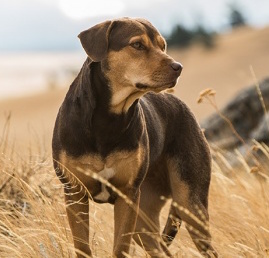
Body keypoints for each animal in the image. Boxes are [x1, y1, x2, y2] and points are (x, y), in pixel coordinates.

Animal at [52, 17, 218, 256]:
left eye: (163, 46)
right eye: (137, 45)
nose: (178, 67)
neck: (108, 117)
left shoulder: (128, 195)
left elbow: (120, 247)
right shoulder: (75, 192)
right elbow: (82, 246)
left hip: (189, 203)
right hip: (144, 221)